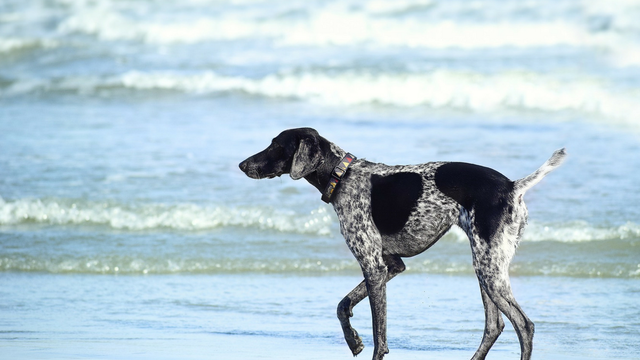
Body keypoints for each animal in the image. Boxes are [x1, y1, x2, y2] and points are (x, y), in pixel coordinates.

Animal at [239, 128, 564, 360]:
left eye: (276, 146)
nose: (242, 164)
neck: (342, 175)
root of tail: (512, 186)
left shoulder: (374, 268)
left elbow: (378, 335)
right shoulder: (391, 266)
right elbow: (343, 305)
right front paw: (353, 340)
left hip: (489, 270)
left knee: (523, 325)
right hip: (486, 269)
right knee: (494, 326)